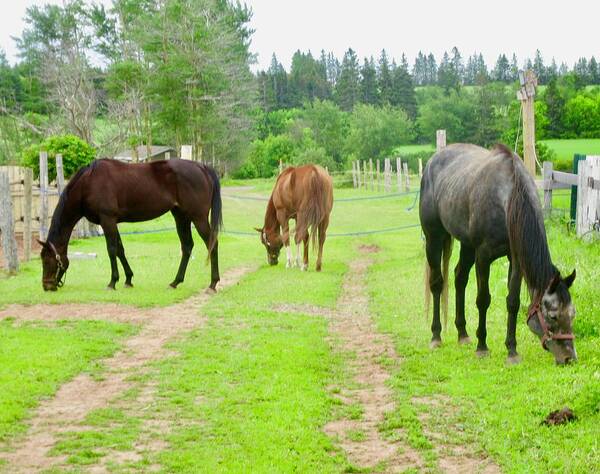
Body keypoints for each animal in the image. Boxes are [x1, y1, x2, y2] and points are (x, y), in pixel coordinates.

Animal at [39, 159, 223, 290]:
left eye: (47, 260)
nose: (47, 286)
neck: (89, 183)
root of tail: (202, 167)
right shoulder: (112, 222)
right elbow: (120, 249)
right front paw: (128, 279)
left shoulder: (107, 220)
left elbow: (112, 250)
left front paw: (112, 282)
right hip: (181, 217)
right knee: (187, 246)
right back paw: (175, 282)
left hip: (198, 218)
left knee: (212, 244)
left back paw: (213, 283)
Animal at [418, 143, 576, 364]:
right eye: (553, 316)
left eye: (572, 314)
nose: (570, 358)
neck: (508, 199)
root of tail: (432, 161)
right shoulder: (483, 256)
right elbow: (483, 299)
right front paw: (482, 347)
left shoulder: (516, 260)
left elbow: (513, 302)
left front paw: (512, 350)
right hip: (434, 238)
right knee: (437, 283)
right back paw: (436, 336)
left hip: (467, 245)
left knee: (460, 278)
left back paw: (463, 334)